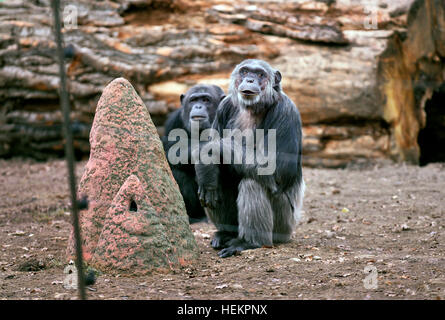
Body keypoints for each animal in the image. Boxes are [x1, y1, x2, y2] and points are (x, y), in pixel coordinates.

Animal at [195, 58, 304, 258]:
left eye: (260, 74)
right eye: (245, 72)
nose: (250, 80)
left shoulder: (286, 111)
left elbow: (276, 166)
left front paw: (210, 151)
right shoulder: (223, 107)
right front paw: (206, 168)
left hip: (283, 226)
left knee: (252, 183)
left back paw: (248, 242)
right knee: (218, 181)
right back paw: (225, 233)